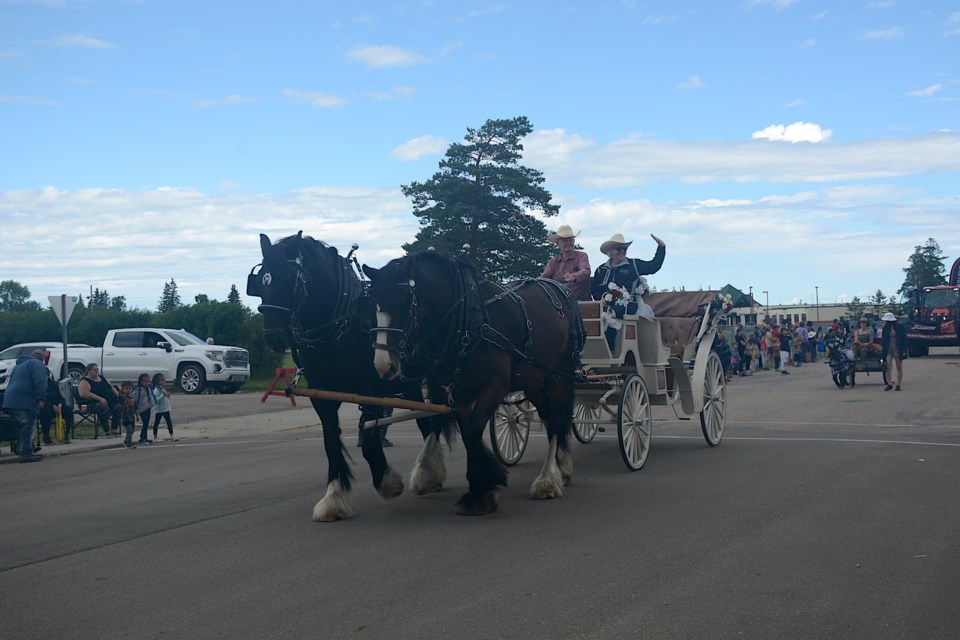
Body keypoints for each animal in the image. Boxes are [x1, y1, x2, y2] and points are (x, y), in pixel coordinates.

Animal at [251, 232, 454, 524]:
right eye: (262, 280)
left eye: (290, 279)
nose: (274, 338)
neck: (341, 328)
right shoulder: (321, 396)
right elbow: (331, 443)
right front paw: (334, 498)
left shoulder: (372, 390)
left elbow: (368, 441)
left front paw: (388, 482)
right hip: (410, 383)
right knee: (425, 421)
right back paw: (428, 471)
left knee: (437, 417)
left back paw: (427, 470)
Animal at [362, 250, 580, 516]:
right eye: (372, 306)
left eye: (403, 303)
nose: (384, 365)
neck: (470, 322)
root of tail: (559, 288)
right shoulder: (458, 391)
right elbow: (467, 432)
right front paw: (484, 485)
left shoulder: (494, 387)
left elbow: (474, 429)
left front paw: (479, 491)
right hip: (535, 380)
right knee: (549, 419)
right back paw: (562, 467)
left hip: (559, 376)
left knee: (557, 419)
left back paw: (548, 478)